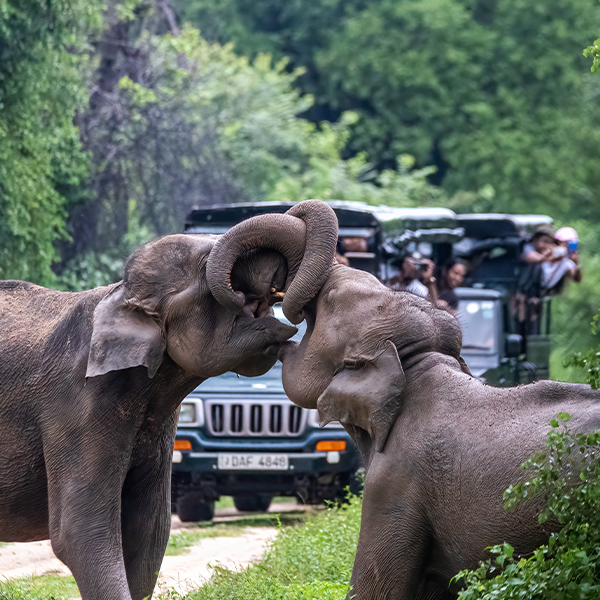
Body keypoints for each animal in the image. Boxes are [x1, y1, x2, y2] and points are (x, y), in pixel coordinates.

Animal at [0, 200, 338, 600]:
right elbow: (81, 533)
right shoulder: (74, 405)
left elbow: (149, 531)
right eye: (207, 262)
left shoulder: (161, 421)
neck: (118, 297)